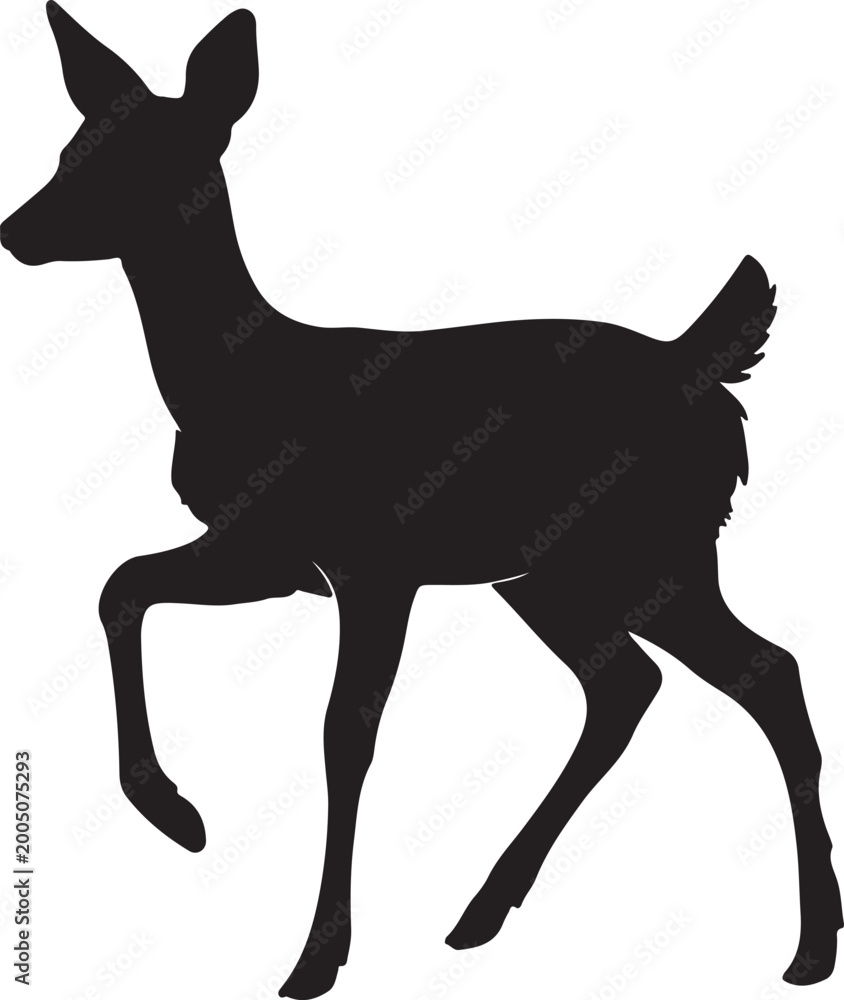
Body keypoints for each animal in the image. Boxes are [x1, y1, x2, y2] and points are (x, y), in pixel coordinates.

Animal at [2, 4, 840, 997]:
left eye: (146, 157)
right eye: (69, 148)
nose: (16, 229)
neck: (237, 385)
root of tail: (704, 373)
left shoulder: (372, 558)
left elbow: (345, 735)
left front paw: (315, 959)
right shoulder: (266, 553)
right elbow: (121, 585)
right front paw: (178, 814)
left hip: (647, 551)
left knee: (765, 672)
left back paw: (810, 947)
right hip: (552, 574)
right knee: (633, 684)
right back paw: (483, 912)